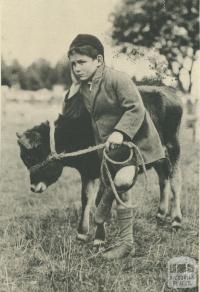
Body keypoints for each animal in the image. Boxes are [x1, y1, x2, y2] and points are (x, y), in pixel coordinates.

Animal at [16, 86, 183, 244]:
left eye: (31, 156)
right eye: (24, 159)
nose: (33, 187)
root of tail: (167, 90)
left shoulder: (104, 170)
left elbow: (99, 200)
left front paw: (99, 237)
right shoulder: (87, 172)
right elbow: (86, 199)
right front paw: (82, 233)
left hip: (173, 146)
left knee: (175, 180)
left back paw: (176, 220)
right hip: (159, 156)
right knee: (163, 177)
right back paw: (160, 214)